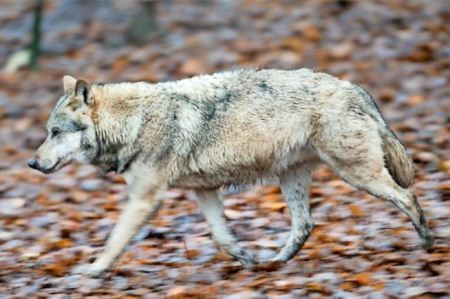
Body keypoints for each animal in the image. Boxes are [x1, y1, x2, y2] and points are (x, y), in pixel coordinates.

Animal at [27, 69, 432, 278]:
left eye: (55, 133)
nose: (31, 163)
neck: (134, 122)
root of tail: (355, 87)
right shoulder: (204, 192)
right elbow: (222, 237)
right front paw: (245, 258)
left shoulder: (145, 198)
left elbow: (114, 241)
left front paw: (93, 271)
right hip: (293, 180)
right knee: (305, 225)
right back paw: (274, 262)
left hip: (356, 174)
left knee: (409, 196)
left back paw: (427, 244)